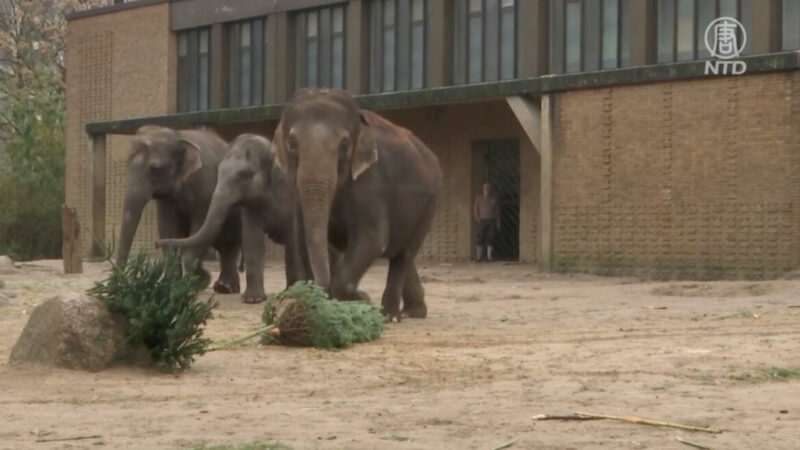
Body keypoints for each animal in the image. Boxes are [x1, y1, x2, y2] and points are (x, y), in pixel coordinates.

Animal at [115, 124, 241, 292]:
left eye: (155, 168)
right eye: (128, 165)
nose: (155, 244)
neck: (179, 136)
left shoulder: (206, 185)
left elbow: (200, 226)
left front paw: (192, 284)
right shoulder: (167, 200)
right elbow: (168, 228)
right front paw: (174, 284)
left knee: (229, 245)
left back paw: (225, 288)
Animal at [272, 88, 440, 322]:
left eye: (344, 144)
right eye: (292, 143)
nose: (364, 295)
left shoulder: (372, 181)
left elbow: (373, 237)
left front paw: (361, 299)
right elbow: (302, 237)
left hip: (430, 203)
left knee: (404, 254)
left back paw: (389, 316)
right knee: (399, 251)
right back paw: (413, 312)